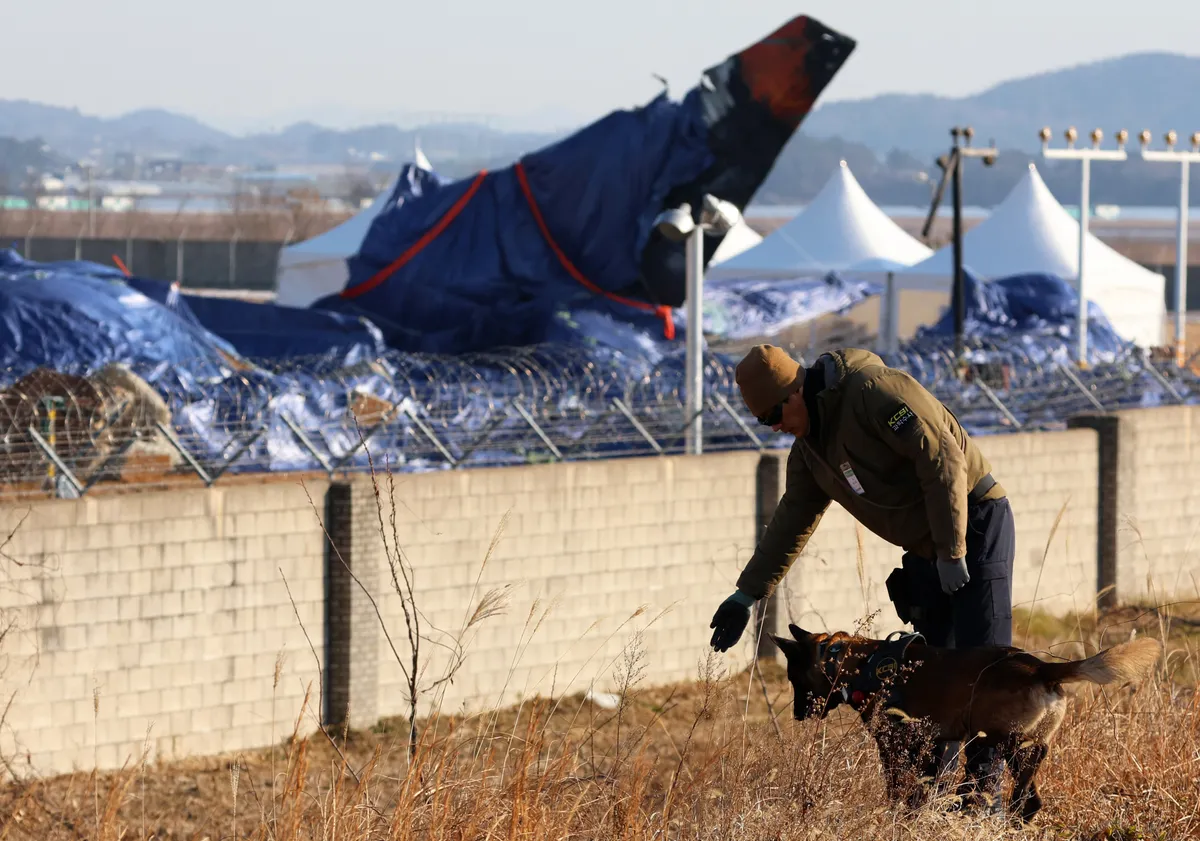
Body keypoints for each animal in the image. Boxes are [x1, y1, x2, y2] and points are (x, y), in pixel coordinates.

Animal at [772, 623, 1156, 820]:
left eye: (793, 678)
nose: (798, 714)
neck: (852, 661)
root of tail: (1039, 668)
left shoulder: (894, 743)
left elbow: (897, 786)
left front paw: (897, 814)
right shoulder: (930, 742)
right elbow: (922, 787)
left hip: (998, 740)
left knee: (1020, 783)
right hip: (1014, 743)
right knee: (1031, 791)